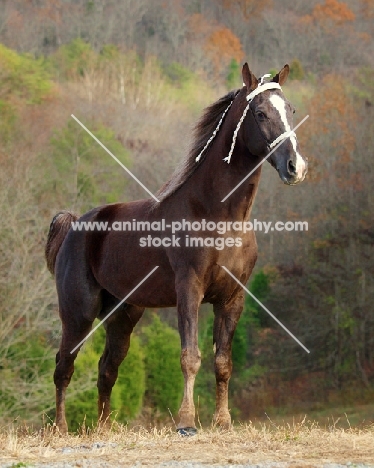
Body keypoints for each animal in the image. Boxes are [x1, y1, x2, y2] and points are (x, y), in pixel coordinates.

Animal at [45, 63, 306, 436]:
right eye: (260, 113)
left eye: (291, 110)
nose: (295, 167)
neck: (217, 213)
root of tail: (74, 226)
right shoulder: (189, 291)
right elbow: (190, 356)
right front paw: (185, 422)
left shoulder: (232, 298)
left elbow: (223, 361)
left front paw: (222, 422)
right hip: (78, 313)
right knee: (64, 365)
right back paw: (60, 428)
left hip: (122, 316)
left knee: (107, 369)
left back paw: (105, 429)